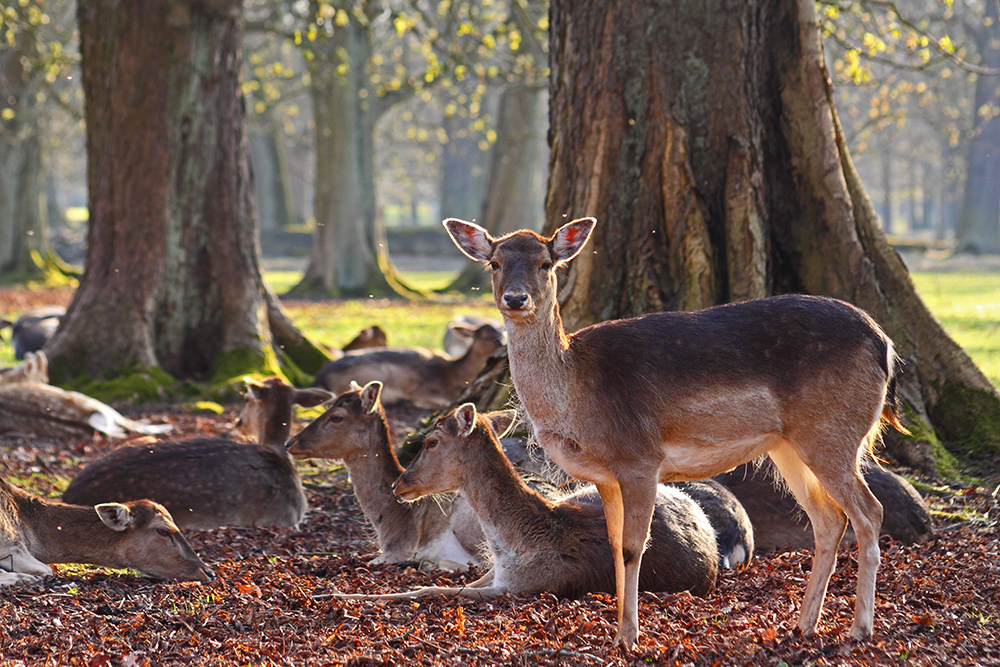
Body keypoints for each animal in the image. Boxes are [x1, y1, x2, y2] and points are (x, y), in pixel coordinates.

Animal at [446, 218, 908, 648]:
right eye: (494, 262)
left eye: (546, 263)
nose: (515, 298)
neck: (578, 395)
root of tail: (885, 344)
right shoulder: (604, 476)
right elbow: (615, 543)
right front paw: (616, 631)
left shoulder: (639, 459)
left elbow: (634, 546)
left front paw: (628, 637)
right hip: (790, 446)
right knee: (829, 519)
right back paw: (804, 625)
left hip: (833, 434)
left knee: (869, 512)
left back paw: (859, 629)